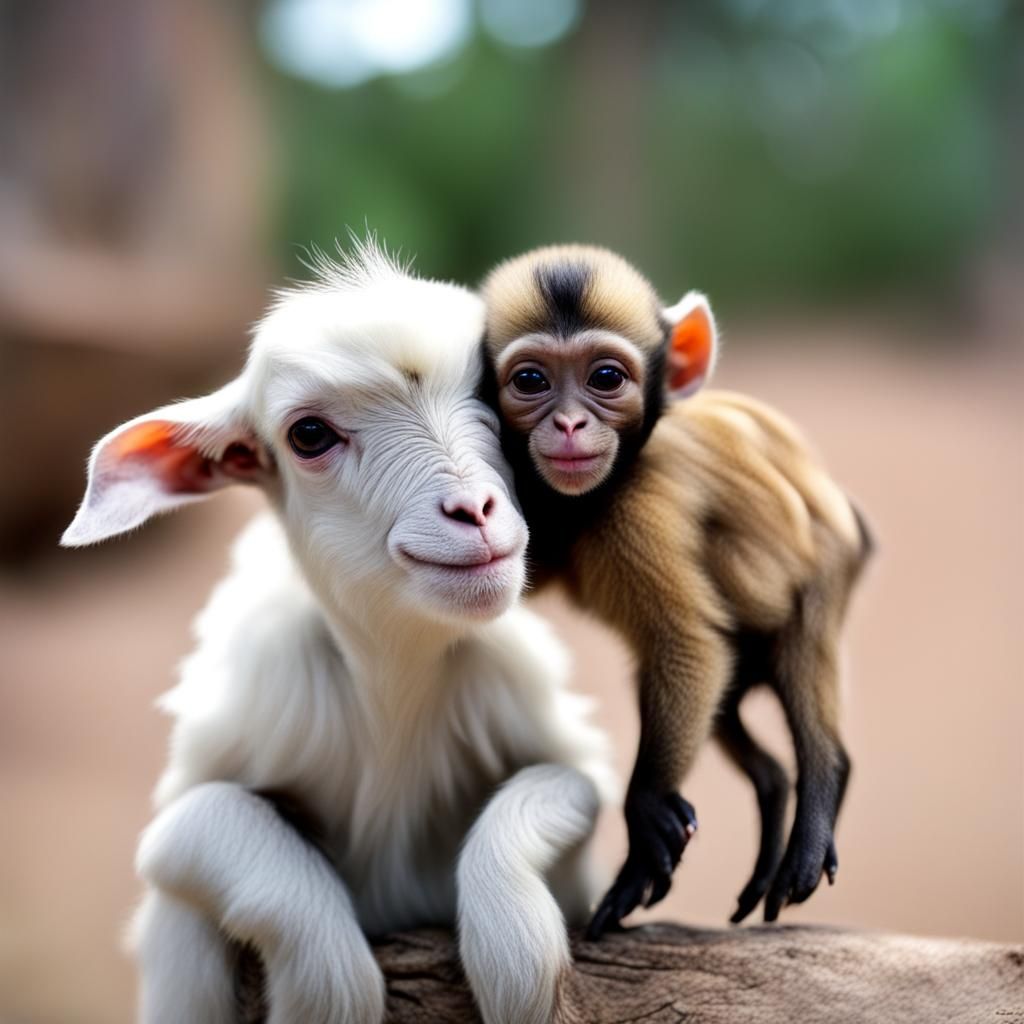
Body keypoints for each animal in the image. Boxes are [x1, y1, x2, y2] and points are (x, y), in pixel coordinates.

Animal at [479, 244, 872, 937]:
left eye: (606, 377)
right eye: (530, 381)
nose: (570, 422)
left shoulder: (639, 507)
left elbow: (683, 641)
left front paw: (641, 822)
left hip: (831, 565)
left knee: (799, 647)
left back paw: (819, 796)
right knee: (726, 698)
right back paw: (772, 794)